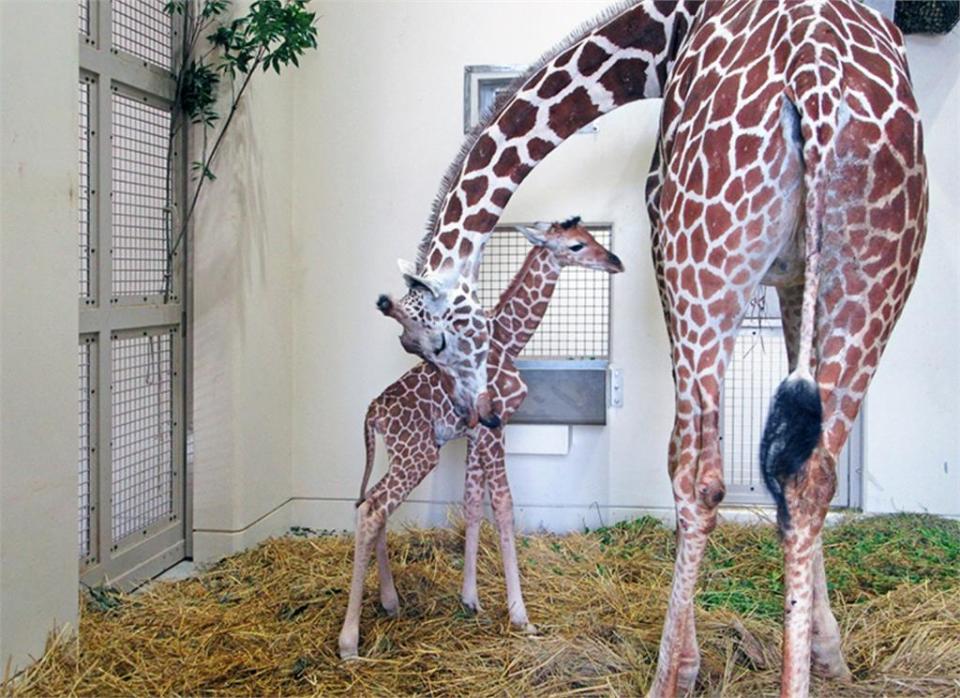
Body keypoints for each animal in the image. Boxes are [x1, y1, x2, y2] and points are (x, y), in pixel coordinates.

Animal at [342, 219, 628, 656]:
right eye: (577, 245)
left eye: (593, 237)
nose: (616, 261)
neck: (508, 339)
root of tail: (373, 412)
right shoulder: (497, 425)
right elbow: (505, 507)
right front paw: (521, 617)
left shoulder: (476, 431)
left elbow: (474, 504)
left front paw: (470, 600)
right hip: (419, 454)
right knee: (372, 508)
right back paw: (349, 643)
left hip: (404, 452)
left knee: (372, 503)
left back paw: (391, 602)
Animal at [378, 2, 928, 692]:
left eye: (433, 345)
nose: (475, 413)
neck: (661, 34)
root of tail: (817, 80)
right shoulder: (798, 274)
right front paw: (829, 652)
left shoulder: (662, 240)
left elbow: (681, 461)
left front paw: (690, 663)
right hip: (872, 278)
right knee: (811, 476)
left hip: (702, 265)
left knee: (702, 479)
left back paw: (665, 678)